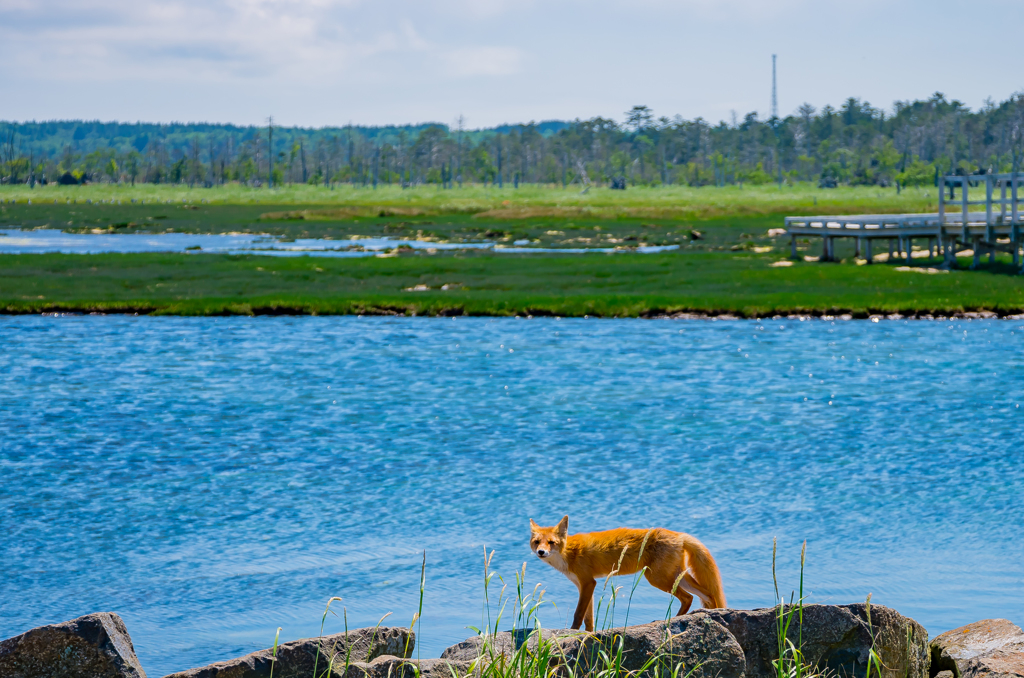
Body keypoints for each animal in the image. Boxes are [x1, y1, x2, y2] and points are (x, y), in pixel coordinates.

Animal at [528, 518, 729, 634]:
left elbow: (578, 614)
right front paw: (588, 634)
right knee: (707, 595)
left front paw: (572, 632)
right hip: (677, 576)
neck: (569, 552)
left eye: (551, 542)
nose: (541, 552)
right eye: (537, 542)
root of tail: (678, 535)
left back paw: (672, 620)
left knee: (688, 598)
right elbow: (589, 618)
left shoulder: (588, 583)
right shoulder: (583, 585)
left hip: (658, 579)